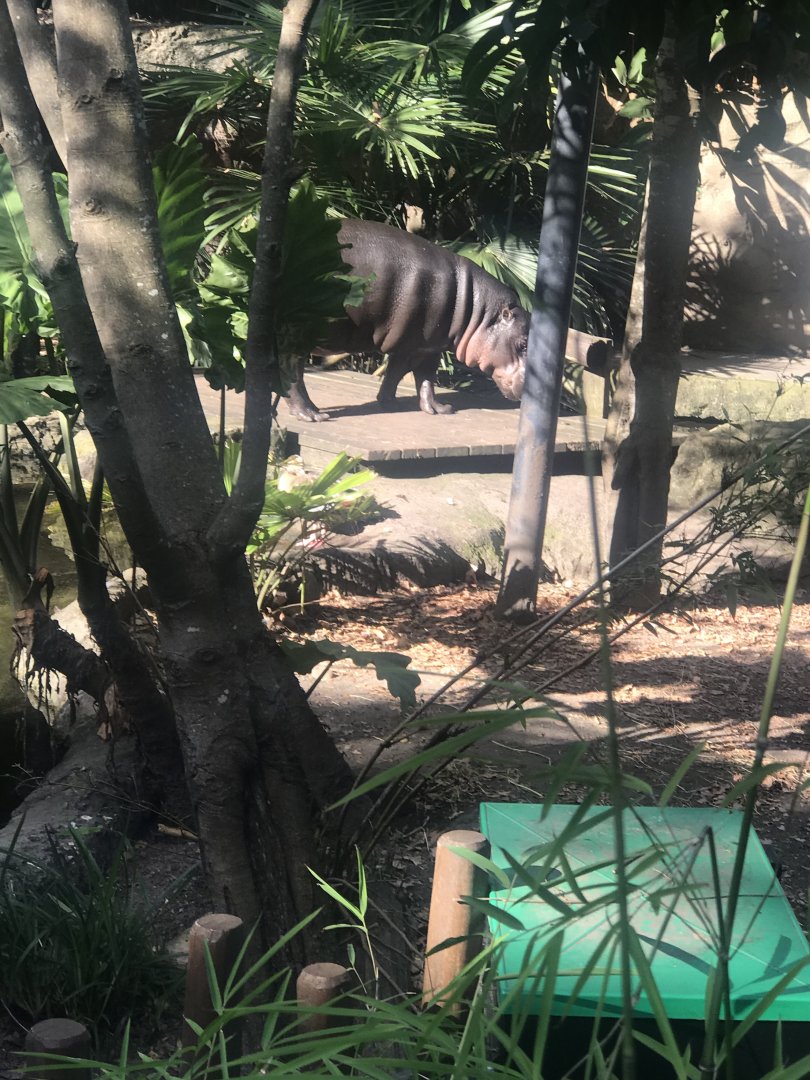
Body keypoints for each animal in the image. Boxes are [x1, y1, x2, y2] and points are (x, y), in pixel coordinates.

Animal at [285, 220, 529, 421]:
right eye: (524, 344)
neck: (476, 311)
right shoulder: (410, 343)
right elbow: (399, 372)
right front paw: (392, 404)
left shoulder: (430, 345)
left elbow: (424, 377)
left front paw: (439, 409)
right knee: (292, 374)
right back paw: (312, 415)